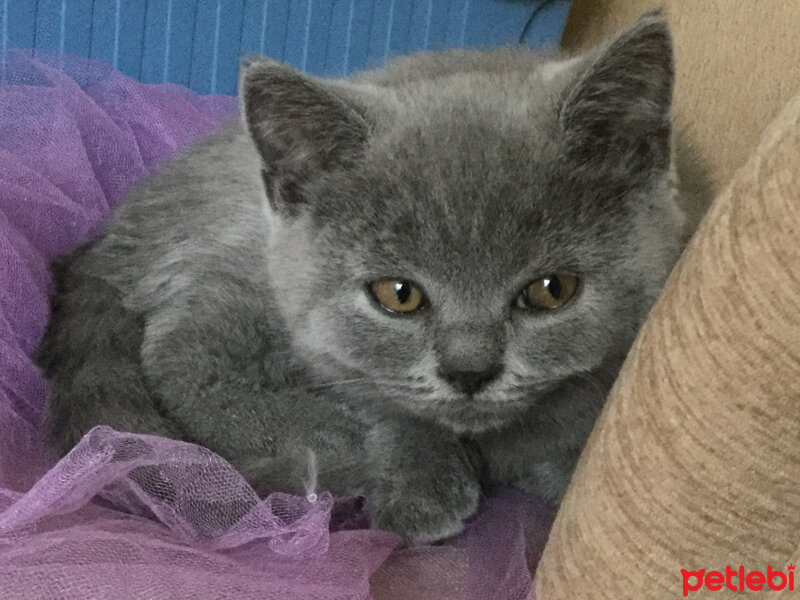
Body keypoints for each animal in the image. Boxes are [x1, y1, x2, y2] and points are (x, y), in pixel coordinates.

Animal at [37, 14, 684, 544]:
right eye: (399, 295)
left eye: (552, 291)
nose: (469, 371)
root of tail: (112, 235)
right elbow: (368, 397)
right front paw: (421, 481)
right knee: (183, 366)